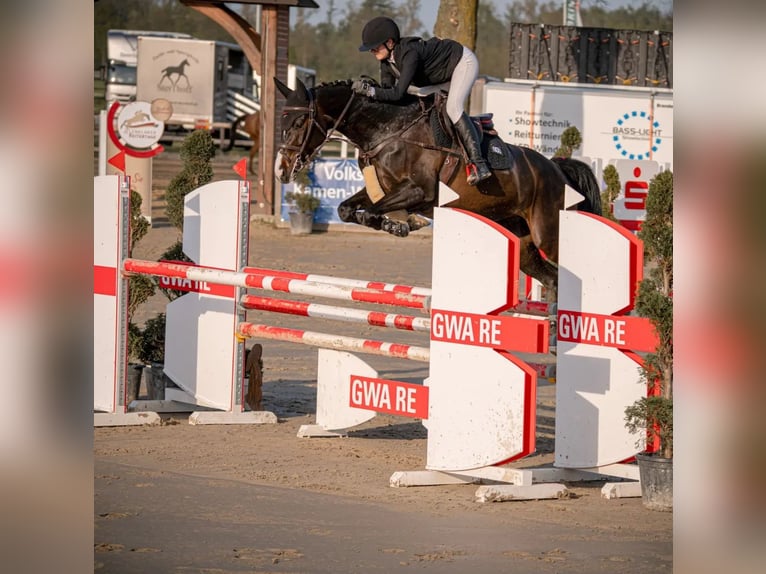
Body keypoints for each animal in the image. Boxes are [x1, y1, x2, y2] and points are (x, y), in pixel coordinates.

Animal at [274, 77, 601, 298]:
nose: (281, 169)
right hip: (522, 242)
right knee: (553, 279)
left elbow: (369, 212)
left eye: (300, 121)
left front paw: (400, 224)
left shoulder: (421, 191)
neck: (388, 131)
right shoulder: (384, 189)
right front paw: (399, 225)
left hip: (549, 234)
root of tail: (558, 169)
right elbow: (347, 210)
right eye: (283, 120)